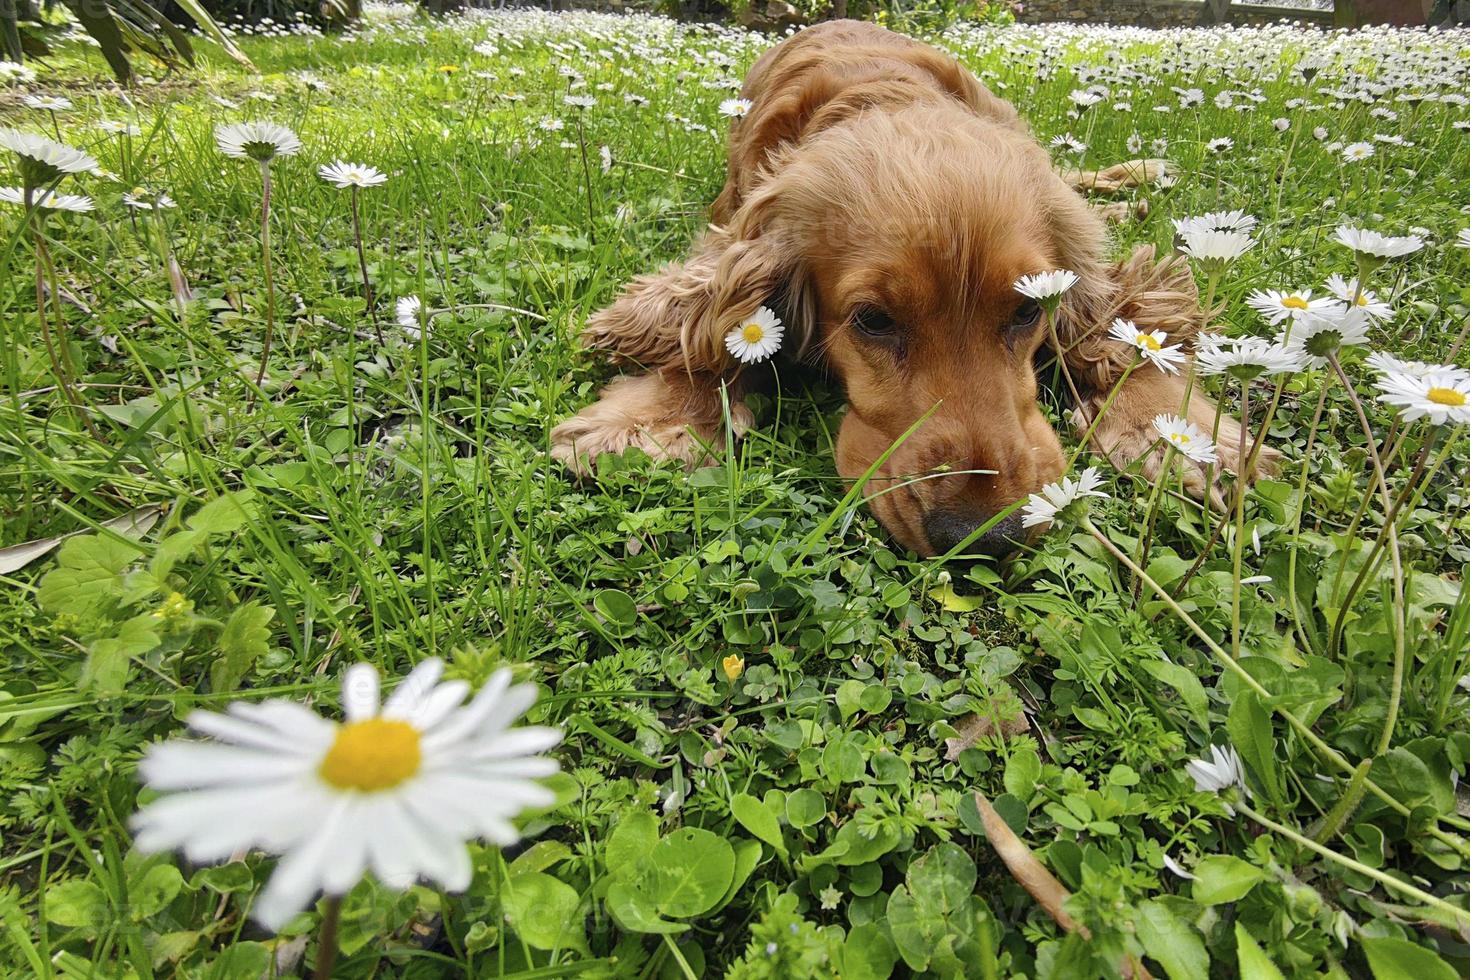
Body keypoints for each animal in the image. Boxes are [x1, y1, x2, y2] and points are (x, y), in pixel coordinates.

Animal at [552, 22, 1252, 555]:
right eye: (874, 321)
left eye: (1027, 311)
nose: (981, 536)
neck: (882, 97)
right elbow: (709, 324)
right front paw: (653, 418)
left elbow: (1124, 325)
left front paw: (1177, 429)